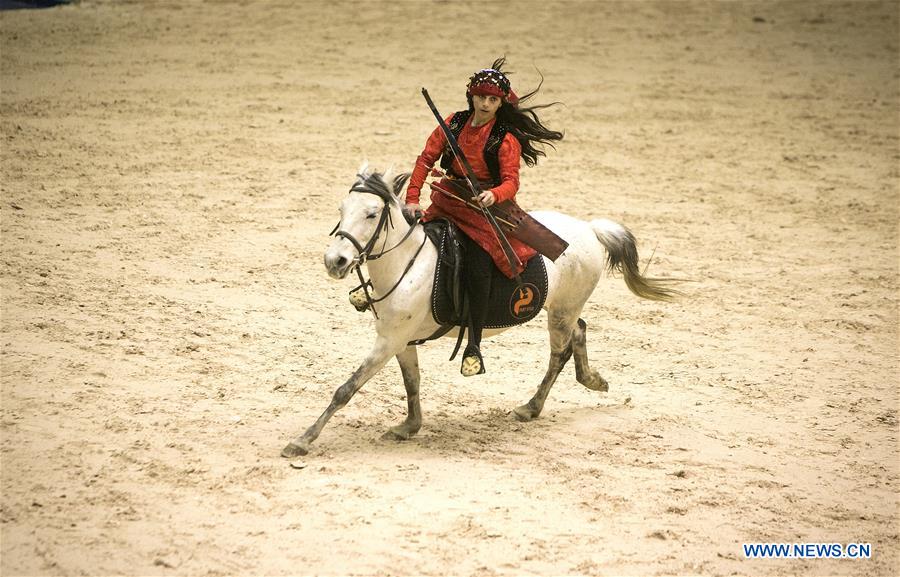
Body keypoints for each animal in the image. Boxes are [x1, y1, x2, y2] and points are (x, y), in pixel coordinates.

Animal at [282, 169, 676, 456]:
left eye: (371, 213)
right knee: (579, 330)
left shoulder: (388, 342)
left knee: (559, 352)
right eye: (341, 210)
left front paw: (303, 440)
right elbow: (412, 382)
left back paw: (532, 407)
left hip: (560, 312)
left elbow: (345, 389)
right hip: (563, 309)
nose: (335, 261)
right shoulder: (399, 341)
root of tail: (590, 229)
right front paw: (409, 427)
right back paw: (591, 379)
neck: (405, 264)